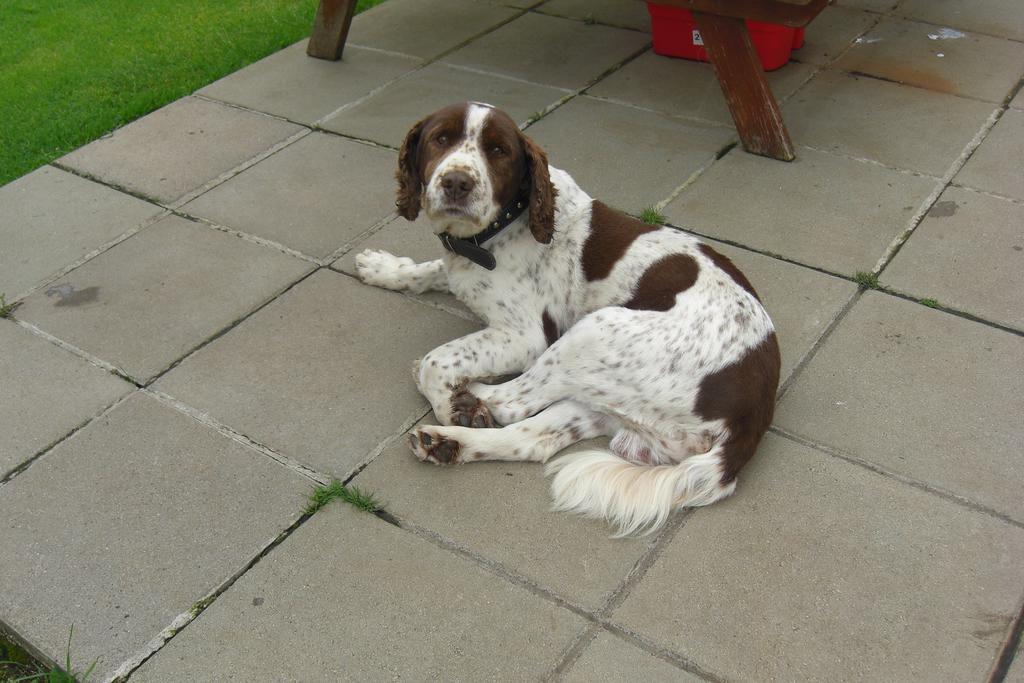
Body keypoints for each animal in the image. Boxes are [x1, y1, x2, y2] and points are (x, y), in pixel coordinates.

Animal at [356, 104, 778, 536]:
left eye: (498, 150)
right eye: (440, 139)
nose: (458, 183)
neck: (500, 228)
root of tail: (751, 418)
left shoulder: (526, 336)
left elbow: (436, 361)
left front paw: (450, 403)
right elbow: (430, 271)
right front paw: (384, 268)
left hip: (591, 333)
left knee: (510, 403)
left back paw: (469, 402)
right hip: (601, 404)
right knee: (529, 437)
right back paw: (446, 444)